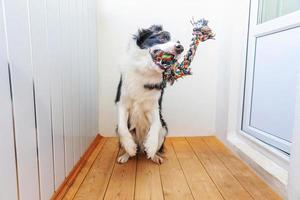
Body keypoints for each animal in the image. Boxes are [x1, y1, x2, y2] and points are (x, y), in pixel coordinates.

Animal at [116, 24, 184, 164]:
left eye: (178, 42)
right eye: (163, 37)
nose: (181, 48)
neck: (145, 71)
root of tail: (140, 144)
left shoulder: (154, 106)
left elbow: (156, 124)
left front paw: (151, 146)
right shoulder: (122, 103)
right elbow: (122, 127)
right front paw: (130, 147)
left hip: (165, 129)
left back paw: (154, 156)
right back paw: (126, 154)